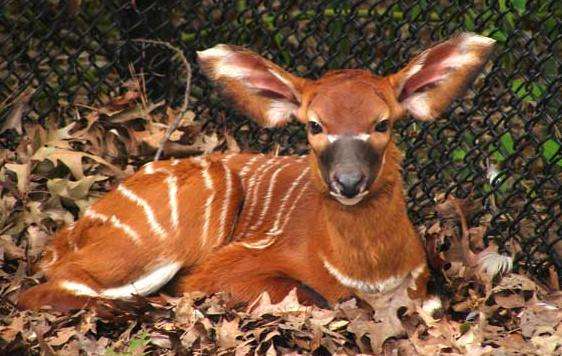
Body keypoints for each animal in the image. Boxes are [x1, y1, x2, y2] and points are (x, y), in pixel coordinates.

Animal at [17, 32, 492, 312]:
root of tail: (66, 236)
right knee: (47, 288)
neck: (371, 277)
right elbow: (313, 296)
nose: (349, 182)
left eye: (383, 123)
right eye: (314, 125)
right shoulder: (232, 267)